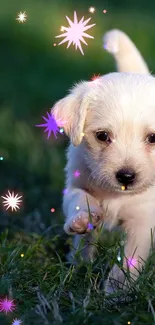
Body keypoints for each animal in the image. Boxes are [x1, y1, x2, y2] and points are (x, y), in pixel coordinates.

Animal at [51, 30, 155, 292]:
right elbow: (79, 199)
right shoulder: (75, 182)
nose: (126, 176)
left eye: (152, 138)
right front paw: (82, 220)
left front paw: (116, 291)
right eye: (102, 136)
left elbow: (130, 258)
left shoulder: (143, 220)